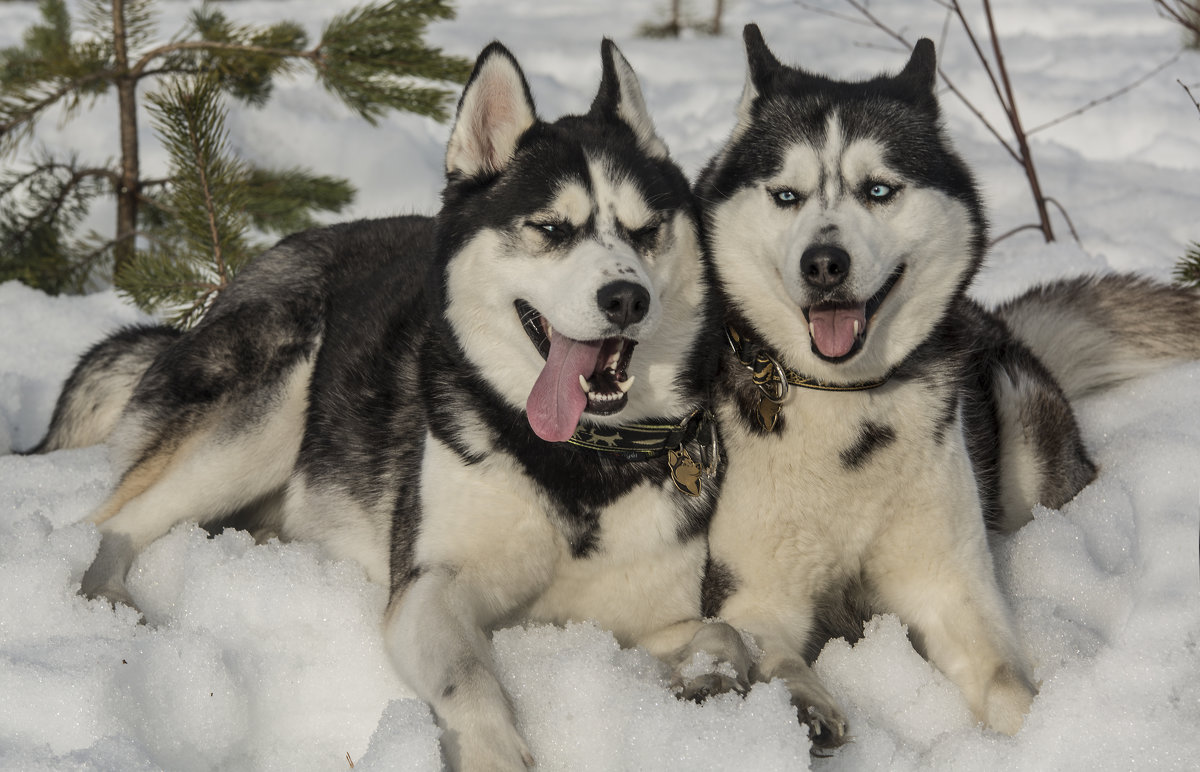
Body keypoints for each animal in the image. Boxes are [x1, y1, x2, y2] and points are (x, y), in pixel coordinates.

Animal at [35, 43, 748, 772]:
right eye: (551, 228)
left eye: (647, 230)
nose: (626, 297)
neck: (575, 461)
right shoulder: (429, 589)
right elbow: (470, 679)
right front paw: (493, 753)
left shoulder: (646, 615)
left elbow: (727, 635)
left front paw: (714, 680)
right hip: (271, 404)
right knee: (112, 521)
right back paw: (101, 601)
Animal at [700, 27, 1200, 744]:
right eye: (786, 195)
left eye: (879, 190)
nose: (824, 264)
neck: (845, 405)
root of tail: (995, 318)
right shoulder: (752, 592)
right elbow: (762, 647)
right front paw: (805, 702)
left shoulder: (947, 584)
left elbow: (1004, 680)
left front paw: (1044, 736)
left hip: (1021, 444)